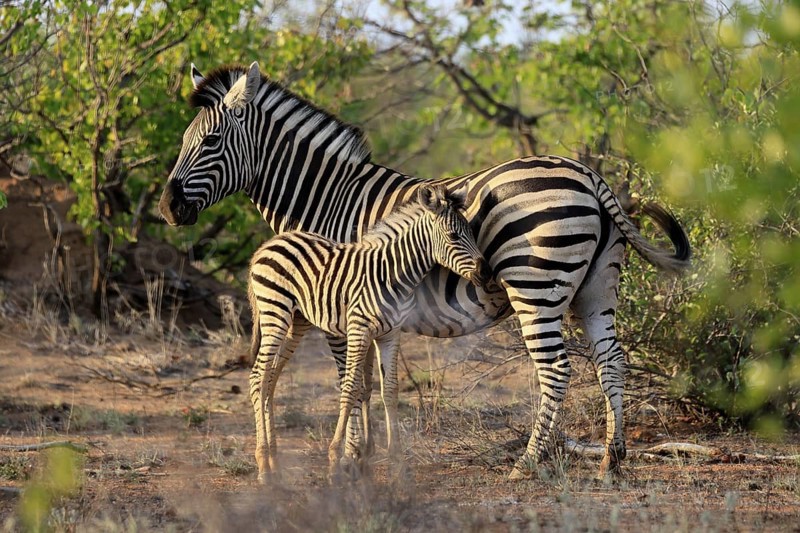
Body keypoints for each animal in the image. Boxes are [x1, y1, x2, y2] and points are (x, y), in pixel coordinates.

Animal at [248, 184, 489, 481]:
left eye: (472, 232)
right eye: (454, 236)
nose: (486, 273)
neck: (394, 275)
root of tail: (268, 244)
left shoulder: (390, 334)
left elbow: (390, 389)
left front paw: (397, 461)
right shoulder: (359, 329)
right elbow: (351, 386)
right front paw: (335, 459)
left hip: (297, 321)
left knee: (270, 377)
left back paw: (274, 461)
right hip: (275, 312)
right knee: (258, 376)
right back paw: (263, 466)